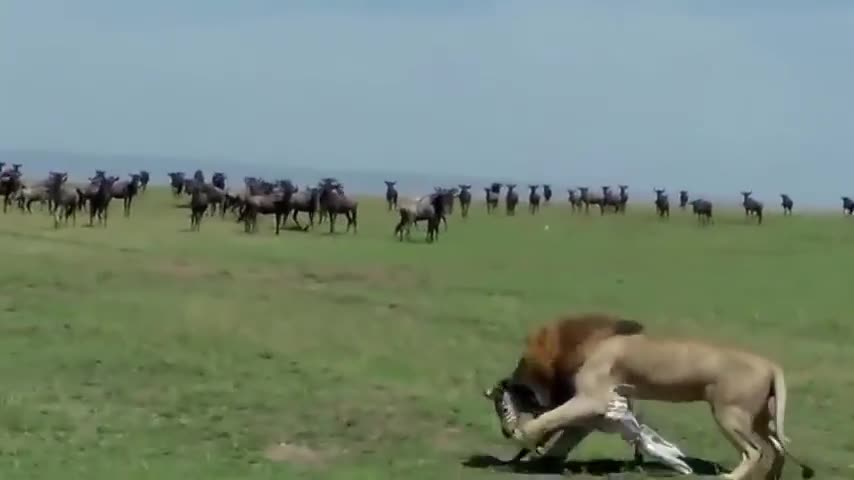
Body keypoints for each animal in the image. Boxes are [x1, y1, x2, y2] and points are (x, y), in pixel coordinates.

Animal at [508, 316, 816, 480]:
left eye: (525, 359)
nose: (507, 383)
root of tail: (771, 365)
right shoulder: (611, 403)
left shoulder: (591, 398)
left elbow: (550, 418)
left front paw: (523, 435)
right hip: (760, 418)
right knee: (777, 448)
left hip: (730, 415)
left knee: (754, 451)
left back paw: (731, 477)